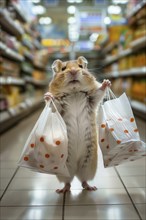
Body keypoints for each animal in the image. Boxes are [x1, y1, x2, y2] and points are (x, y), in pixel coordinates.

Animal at [44, 56, 110, 192]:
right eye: (63, 68)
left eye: (80, 66)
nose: (74, 71)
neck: (74, 92)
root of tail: (75, 168)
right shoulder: (58, 105)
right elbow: (53, 102)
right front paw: (47, 96)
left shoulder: (92, 99)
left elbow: (99, 92)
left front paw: (106, 82)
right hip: (65, 169)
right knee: (68, 182)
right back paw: (62, 190)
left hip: (88, 165)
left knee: (83, 180)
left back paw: (91, 187)